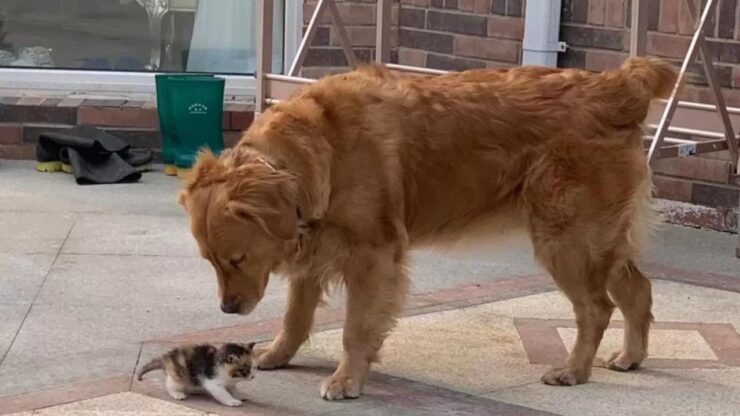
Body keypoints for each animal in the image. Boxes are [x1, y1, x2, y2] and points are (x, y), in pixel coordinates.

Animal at [178, 57, 676, 400]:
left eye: (237, 259)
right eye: (210, 261)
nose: (227, 309)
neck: (316, 153)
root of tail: (618, 84)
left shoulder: (373, 255)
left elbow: (356, 328)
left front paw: (346, 379)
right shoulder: (315, 246)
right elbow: (296, 316)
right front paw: (279, 355)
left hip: (567, 240)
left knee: (597, 308)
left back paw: (573, 370)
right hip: (601, 240)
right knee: (637, 290)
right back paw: (630, 357)